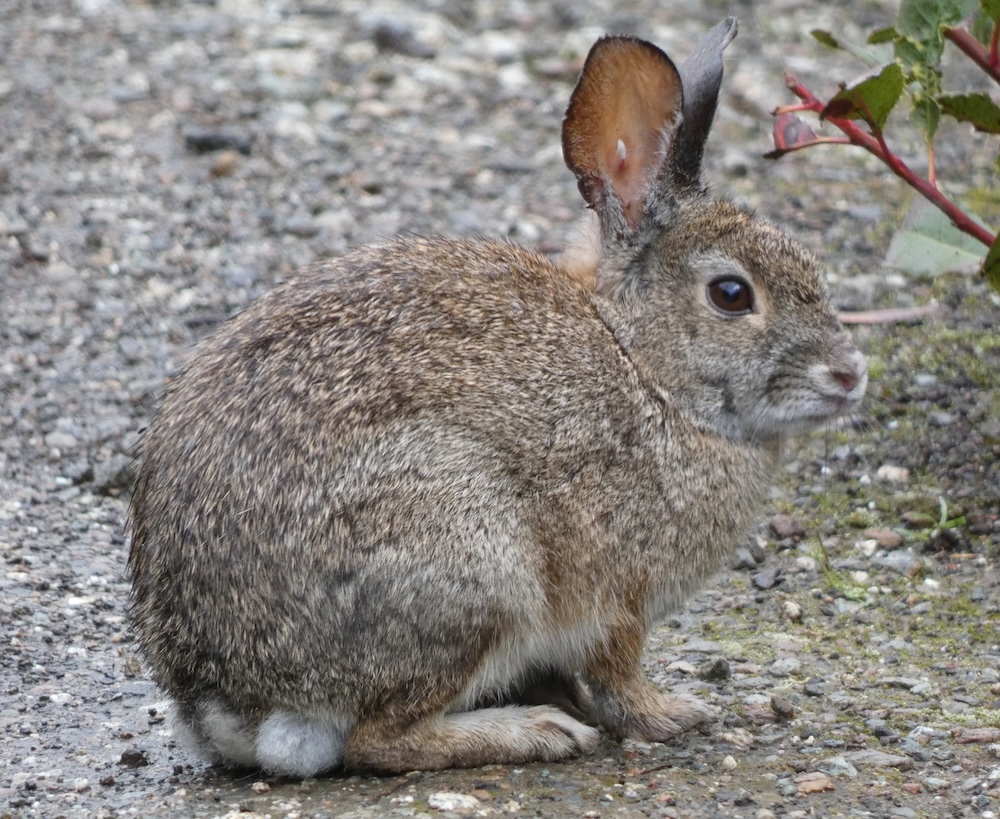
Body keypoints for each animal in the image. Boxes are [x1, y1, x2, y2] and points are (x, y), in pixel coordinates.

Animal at [127, 17, 867, 777]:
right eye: (731, 294)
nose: (849, 374)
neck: (644, 365)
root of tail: (222, 702)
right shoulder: (617, 597)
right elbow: (618, 673)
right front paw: (671, 714)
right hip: (469, 561)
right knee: (379, 739)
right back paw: (536, 731)